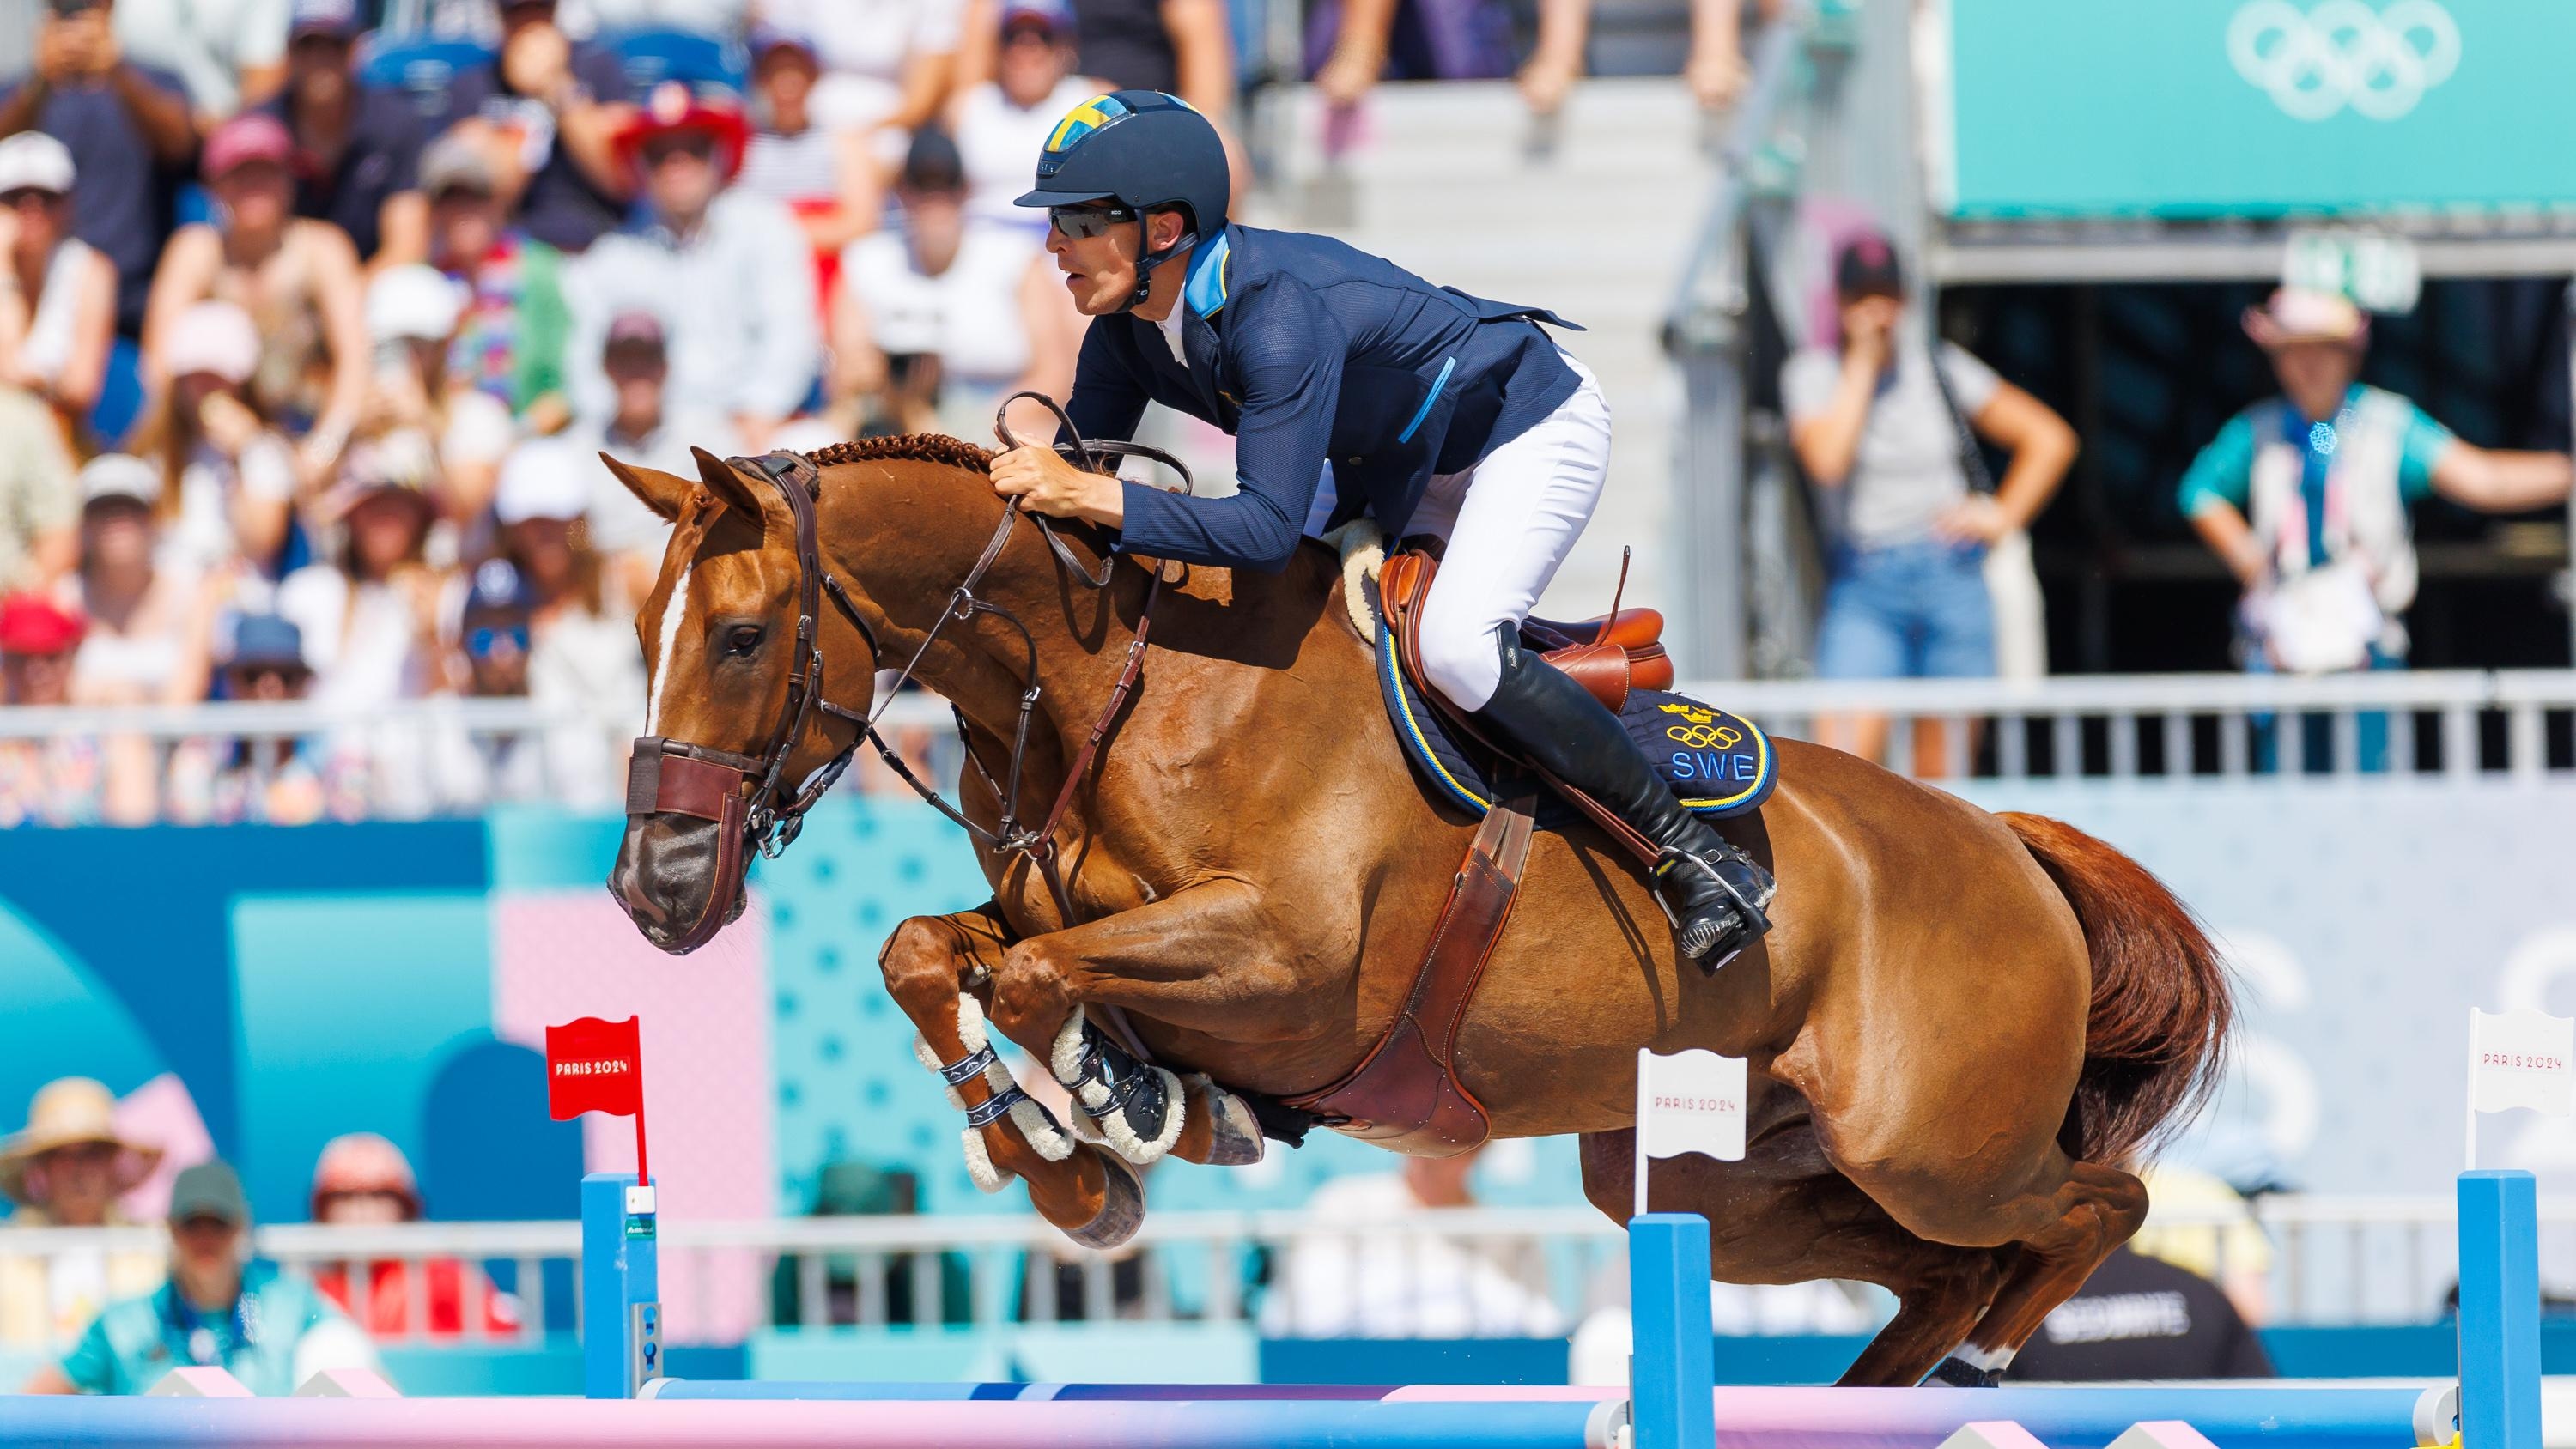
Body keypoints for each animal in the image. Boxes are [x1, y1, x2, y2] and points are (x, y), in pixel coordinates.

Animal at [608, 440, 2236, 1379]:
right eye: (640, 629)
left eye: (741, 634)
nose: (654, 890)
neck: (1118, 686)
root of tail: (2008, 839)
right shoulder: (1076, 919)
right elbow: (933, 954)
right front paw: (1078, 1171)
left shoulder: (1288, 961)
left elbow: (1033, 983)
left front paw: (1123, 1118)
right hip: (1713, 1180)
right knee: (1935, 1268)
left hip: (1934, 1145)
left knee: (2095, 1206)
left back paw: (1986, 1367)